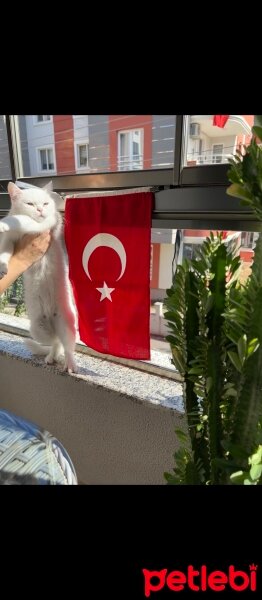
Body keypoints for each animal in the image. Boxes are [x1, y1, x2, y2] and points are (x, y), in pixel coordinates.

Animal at [0, 180, 78, 372]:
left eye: (46, 203)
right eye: (30, 204)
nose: (41, 210)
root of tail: (53, 322)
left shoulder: (42, 226)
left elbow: (23, 220)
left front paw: (4, 222)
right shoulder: (11, 241)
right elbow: (5, 251)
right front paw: (3, 266)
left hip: (68, 323)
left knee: (67, 346)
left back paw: (70, 363)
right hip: (37, 329)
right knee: (55, 342)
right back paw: (51, 356)